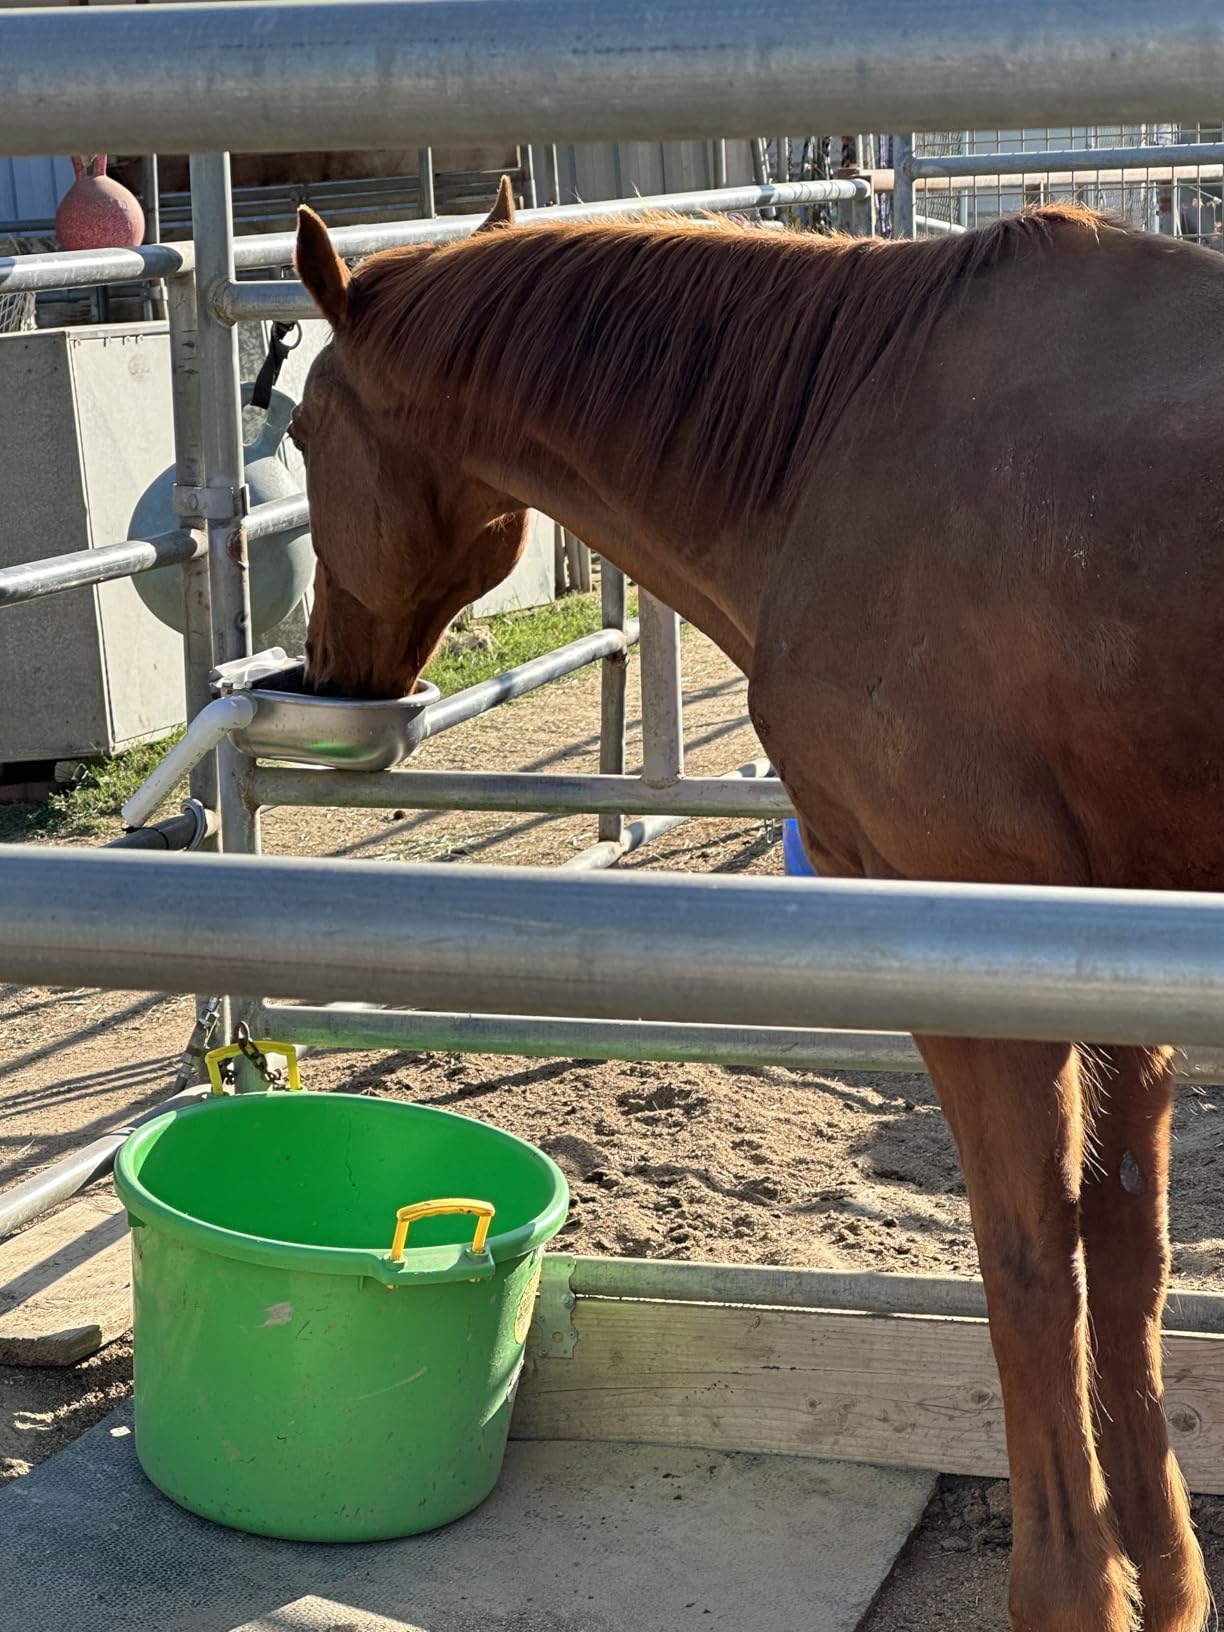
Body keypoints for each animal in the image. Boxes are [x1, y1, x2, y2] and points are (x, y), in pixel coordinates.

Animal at [290, 178, 1224, 1632]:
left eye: (294, 431)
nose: (327, 667)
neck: (848, 437)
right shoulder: (1117, 947)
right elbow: (1124, 1262)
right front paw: (1162, 1583)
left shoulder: (979, 964)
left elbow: (1027, 1271)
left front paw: (1071, 1593)